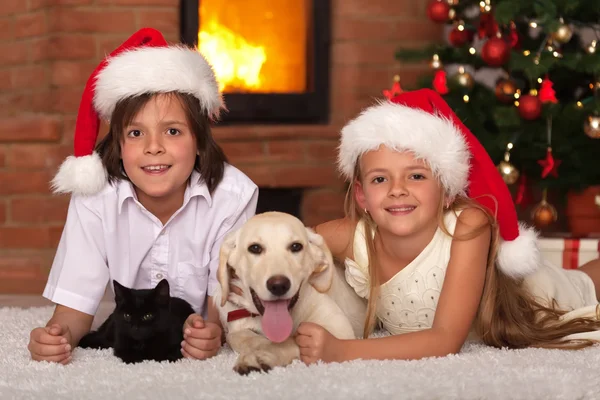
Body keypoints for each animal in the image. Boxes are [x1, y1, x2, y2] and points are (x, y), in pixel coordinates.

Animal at [216, 212, 366, 376]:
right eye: (255, 248)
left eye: (296, 246)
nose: (278, 285)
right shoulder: (237, 326)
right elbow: (239, 337)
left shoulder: (339, 329)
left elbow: (291, 341)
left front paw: (260, 355)